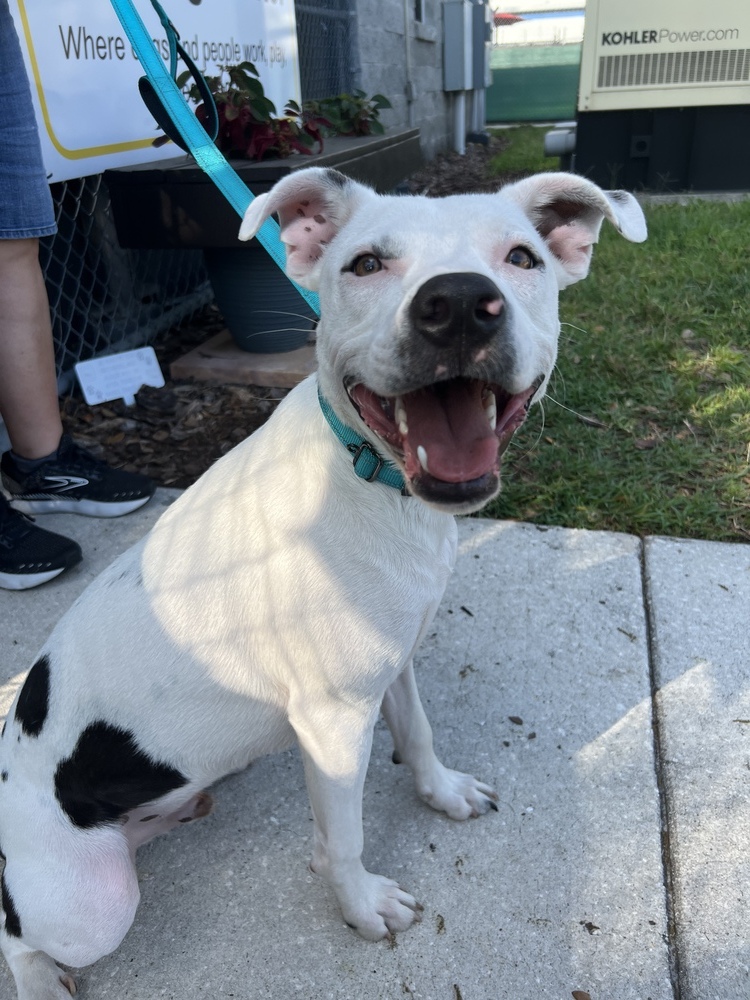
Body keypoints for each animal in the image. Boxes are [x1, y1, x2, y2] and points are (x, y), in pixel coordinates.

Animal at [0, 168, 648, 996]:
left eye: (522, 258)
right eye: (366, 264)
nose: (459, 303)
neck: (372, 479)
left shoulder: (392, 662)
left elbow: (419, 731)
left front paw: (442, 793)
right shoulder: (334, 724)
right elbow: (343, 837)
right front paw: (362, 905)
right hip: (92, 906)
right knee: (17, 933)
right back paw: (42, 978)